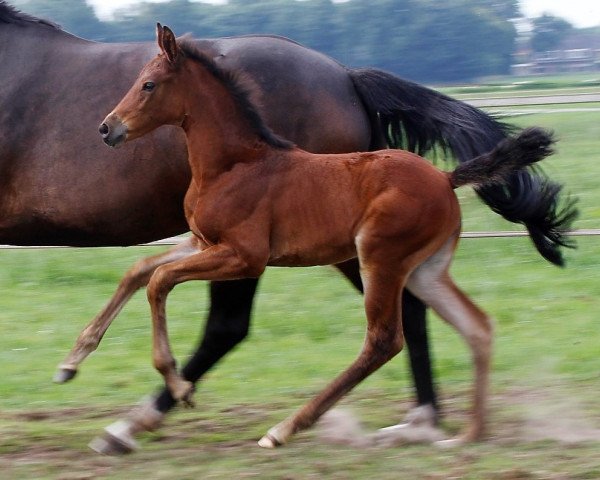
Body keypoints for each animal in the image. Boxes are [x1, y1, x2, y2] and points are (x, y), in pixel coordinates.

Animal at [1, 1, 576, 454]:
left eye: (147, 84)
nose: (106, 128)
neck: (237, 161)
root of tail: (445, 176)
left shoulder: (243, 254)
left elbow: (159, 282)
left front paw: (174, 383)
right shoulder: (203, 241)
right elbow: (141, 270)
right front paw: (73, 359)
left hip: (370, 256)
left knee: (368, 336)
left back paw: (266, 426)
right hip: (419, 266)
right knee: (467, 323)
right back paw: (453, 431)